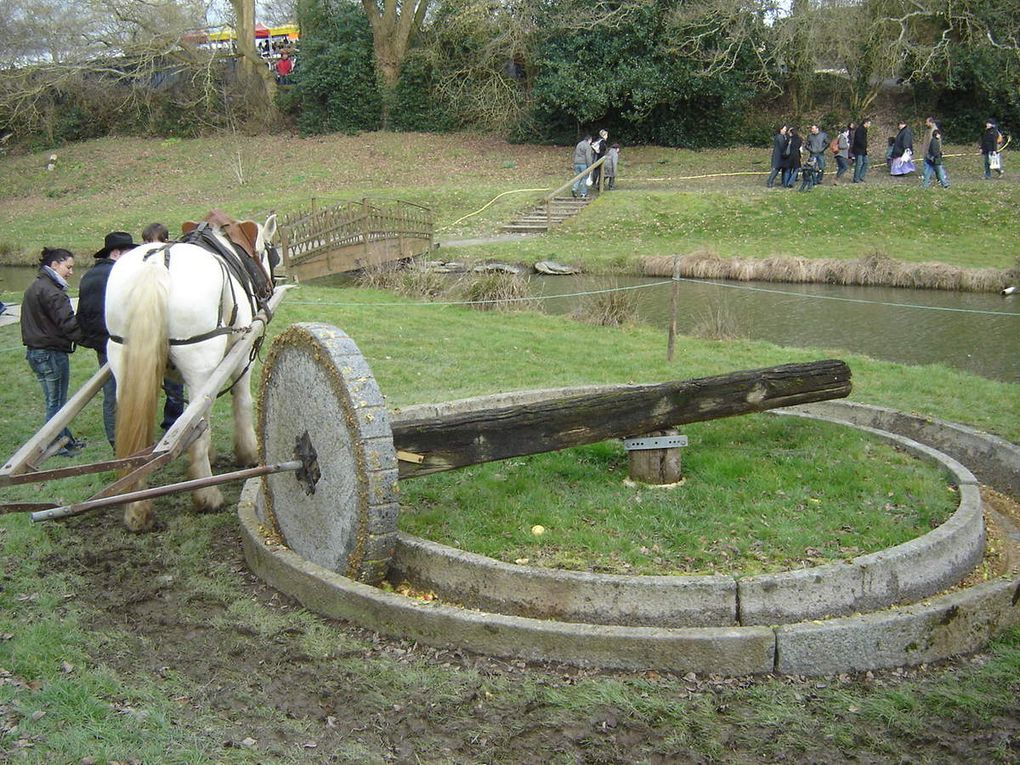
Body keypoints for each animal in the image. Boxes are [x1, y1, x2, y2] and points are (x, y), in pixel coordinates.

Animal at [106, 211, 279, 534]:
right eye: (267, 250)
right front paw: (247, 454)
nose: (267, 288)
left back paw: (137, 509)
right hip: (200, 358)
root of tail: (157, 263)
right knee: (197, 422)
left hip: (124, 362)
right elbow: (240, 402)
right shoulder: (240, 358)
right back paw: (207, 495)